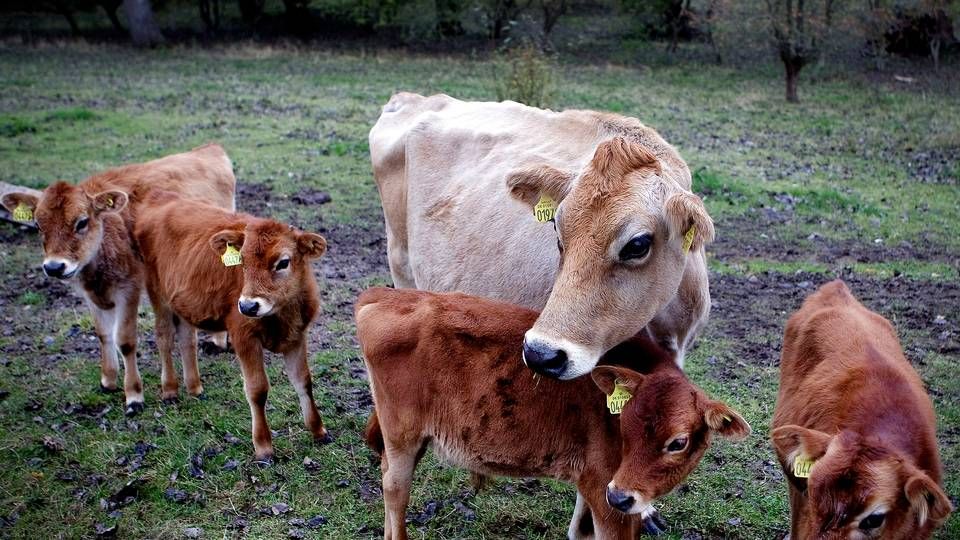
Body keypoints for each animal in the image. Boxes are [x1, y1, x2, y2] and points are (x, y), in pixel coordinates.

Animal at [2, 142, 235, 414]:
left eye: (82, 222)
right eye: (38, 225)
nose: (54, 267)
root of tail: (208, 148)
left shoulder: (128, 288)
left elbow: (124, 340)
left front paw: (134, 395)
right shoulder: (90, 295)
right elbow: (103, 334)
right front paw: (108, 380)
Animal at [133, 194, 330, 460]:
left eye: (283, 262)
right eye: (242, 261)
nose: (248, 306)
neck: (283, 315)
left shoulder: (297, 336)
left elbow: (304, 381)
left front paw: (319, 430)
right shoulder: (243, 336)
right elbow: (257, 389)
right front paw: (263, 447)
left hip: (181, 301)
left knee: (186, 338)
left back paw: (195, 387)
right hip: (157, 293)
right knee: (164, 337)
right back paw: (170, 389)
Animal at [356, 288, 752, 540]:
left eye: (678, 442)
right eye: (624, 427)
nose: (622, 497)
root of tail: (384, 295)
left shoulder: (597, 488)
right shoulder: (605, 493)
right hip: (402, 436)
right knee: (395, 491)